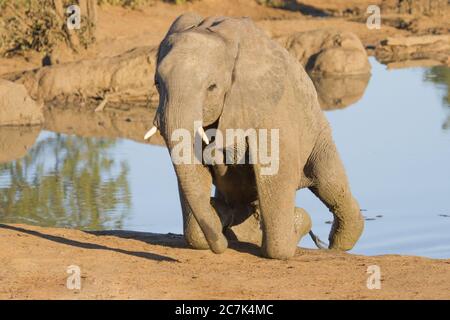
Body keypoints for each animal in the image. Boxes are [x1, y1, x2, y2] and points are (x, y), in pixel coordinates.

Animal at [146, 14, 364, 260]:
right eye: (157, 83)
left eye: (212, 87)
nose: (220, 246)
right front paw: (219, 215)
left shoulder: (269, 106)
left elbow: (277, 172)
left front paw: (298, 221)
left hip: (317, 130)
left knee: (328, 181)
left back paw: (337, 244)